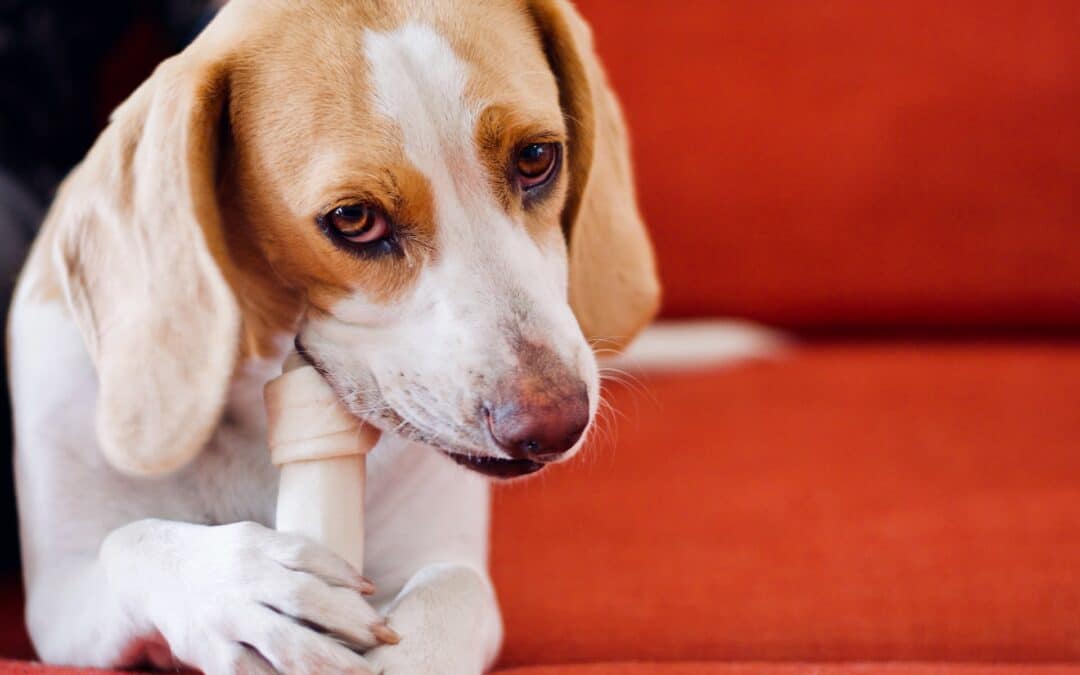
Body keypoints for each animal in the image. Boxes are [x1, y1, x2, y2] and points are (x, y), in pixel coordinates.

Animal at [6, 1, 656, 673]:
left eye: (535, 158)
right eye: (353, 219)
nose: (555, 425)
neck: (253, 412)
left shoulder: (441, 561)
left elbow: (452, 590)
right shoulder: (59, 601)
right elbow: (129, 543)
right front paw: (240, 589)